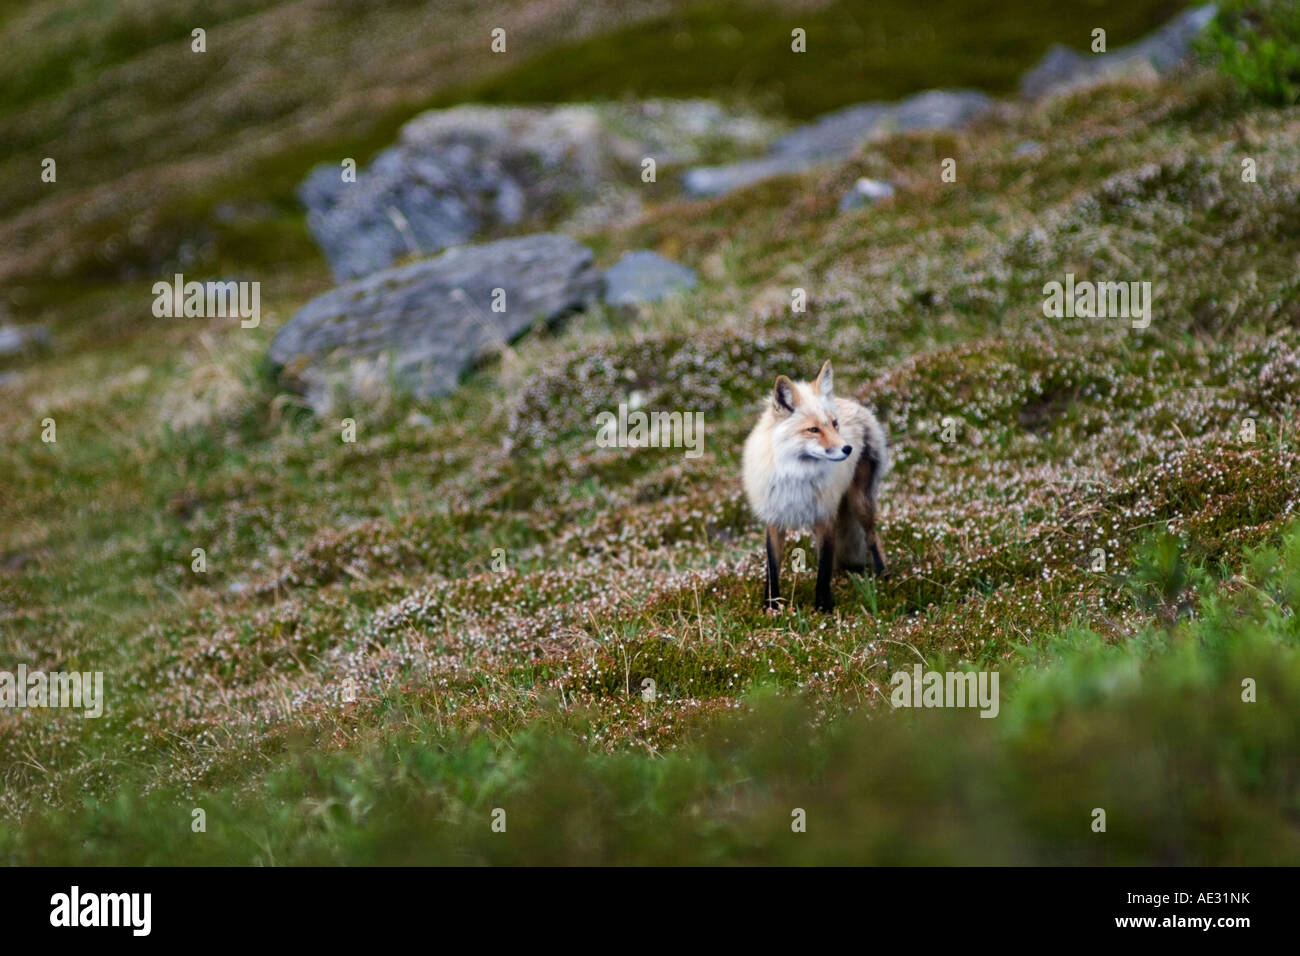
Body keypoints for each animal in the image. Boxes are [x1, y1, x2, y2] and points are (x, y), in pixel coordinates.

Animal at [742, 360, 888, 613]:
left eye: (834, 424)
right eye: (813, 430)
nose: (847, 449)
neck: (797, 475)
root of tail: (853, 404)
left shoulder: (825, 515)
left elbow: (824, 566)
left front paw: (823, 606)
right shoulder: (774, 518)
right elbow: (772, 567)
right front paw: (771, 606)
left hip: (860, 503)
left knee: (871, 537)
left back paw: (882, 575)